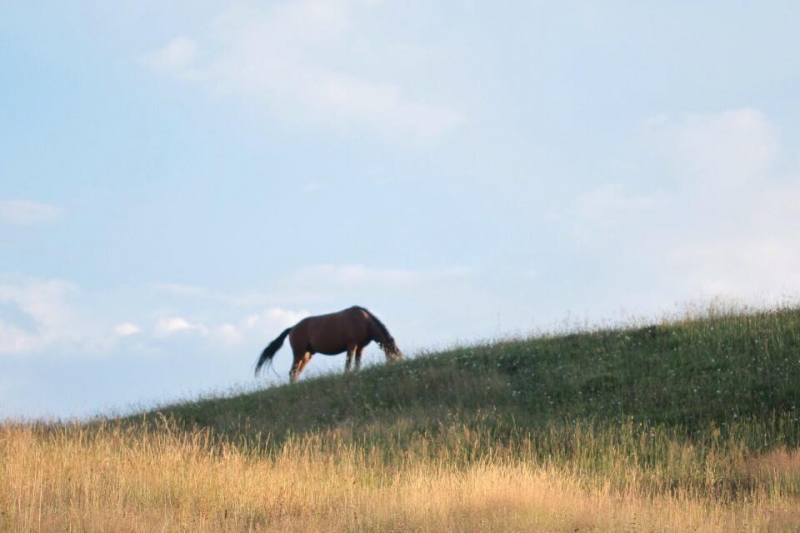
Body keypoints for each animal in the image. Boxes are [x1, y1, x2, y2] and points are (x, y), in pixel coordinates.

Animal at [256, 304, 404, 382]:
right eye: (394, 357)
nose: (397, 367)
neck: (365, 321)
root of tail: (292, 328)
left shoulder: (360, 348)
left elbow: (357, 364)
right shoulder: (352, 345)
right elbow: (348, 364)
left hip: (307, 355)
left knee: (296, 372)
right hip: (299, 353)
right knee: (293, 372)